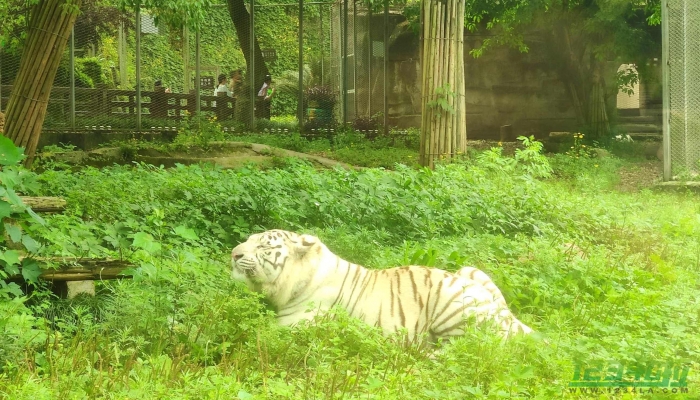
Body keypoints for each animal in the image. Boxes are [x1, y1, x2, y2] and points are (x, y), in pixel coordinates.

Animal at [230, 230, 532, 342]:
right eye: (248, 239)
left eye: (262, 246)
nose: (233, 254)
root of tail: (506, 316)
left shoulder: (293, 326)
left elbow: (253, 332)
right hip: (470, 269)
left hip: (452, 302)